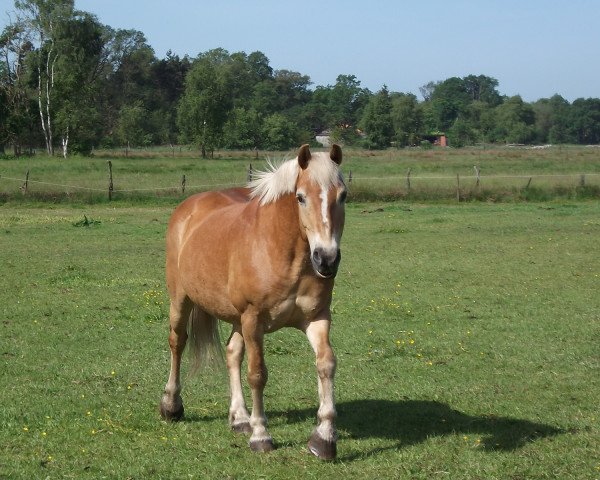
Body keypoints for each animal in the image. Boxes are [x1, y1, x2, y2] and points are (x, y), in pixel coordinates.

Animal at [159, 144, 346, 460]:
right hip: (182, 300)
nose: (326, 259)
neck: (282, 250)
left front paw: (324, 437)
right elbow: (257, 374)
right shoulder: (254, 319)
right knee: (178, 342)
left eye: (343, 195)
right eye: (300, 197)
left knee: (232, 353)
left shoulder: (317, 318)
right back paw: (171, 405)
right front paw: (261, 435)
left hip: (237, 319)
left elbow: (326, 364)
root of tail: (190, 206)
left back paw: (239, 418)